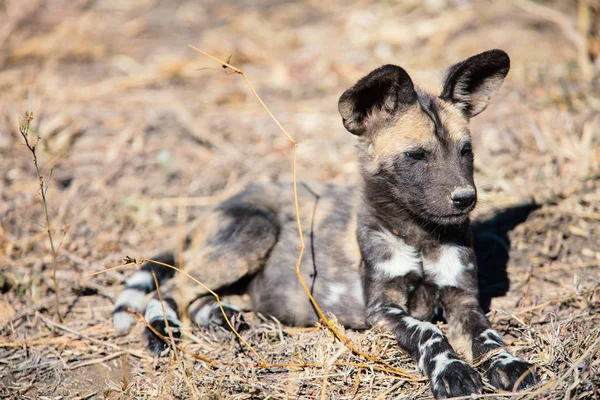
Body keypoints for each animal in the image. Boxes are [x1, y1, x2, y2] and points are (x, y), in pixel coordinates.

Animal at [112, 50, 540, 400]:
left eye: (466, 152)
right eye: (417, 156)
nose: (465, 198)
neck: (420, 234)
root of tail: (217, 204)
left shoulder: (464, 301)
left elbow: (487, 334)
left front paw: (509, 365)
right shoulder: (382, 309)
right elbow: (430, 333)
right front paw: (451, 371)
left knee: (194, 293)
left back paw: (222, 316)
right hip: (254, 233)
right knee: (172, 287)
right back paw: (161, 331)